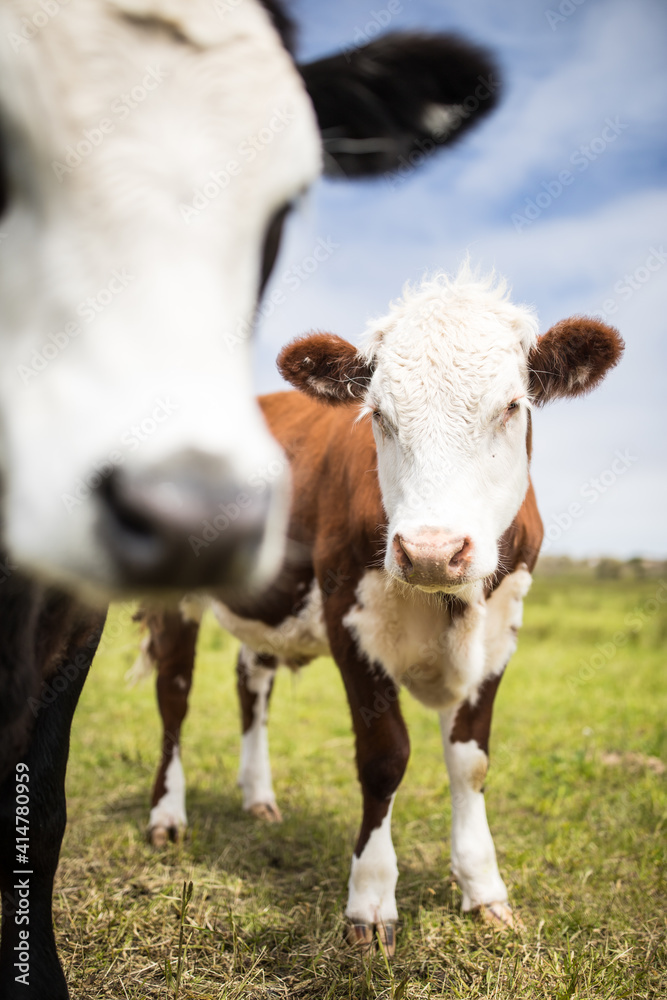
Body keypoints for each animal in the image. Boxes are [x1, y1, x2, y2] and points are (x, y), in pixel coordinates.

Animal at [139, 267, 623, 956]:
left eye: (511, 406)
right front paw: (370, 902)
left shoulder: (502, 630)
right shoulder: (350, 621)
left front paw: (484, 889)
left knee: (250, 684)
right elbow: (384, 757)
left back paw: (258, 797)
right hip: (175, 597)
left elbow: (471, 763)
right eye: (379, 416)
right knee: (174, 697)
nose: (431, 550)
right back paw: (167, 815)